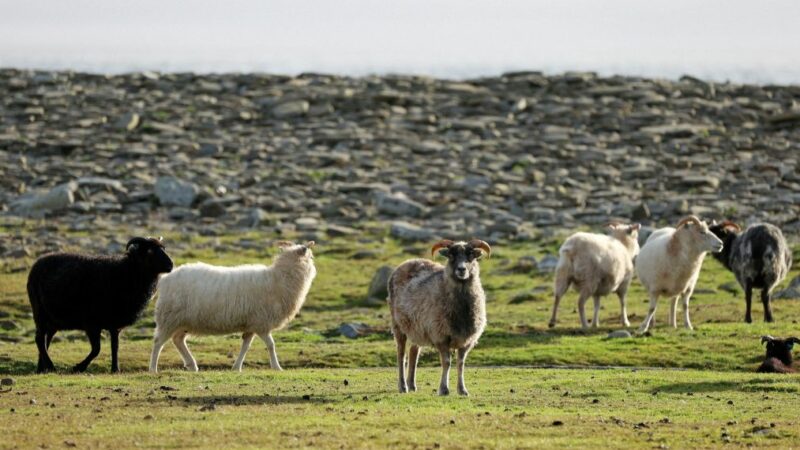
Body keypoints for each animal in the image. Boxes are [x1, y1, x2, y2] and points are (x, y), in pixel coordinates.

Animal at [27, 237, 173, 374]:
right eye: (149, 251)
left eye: (164, 248)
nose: (171, 265)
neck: (127, 273)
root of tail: (38, 263)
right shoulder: (91, 323)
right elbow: (97, 349)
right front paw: (78, 367)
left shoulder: (115, 325)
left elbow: (115, 346)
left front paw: (115, 369)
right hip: (39, 312)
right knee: (39, 339)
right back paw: (50, 366)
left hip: (53, 320)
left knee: (46, 339)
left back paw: (42, 369)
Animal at [149, 241, 316, 374]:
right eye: (311, 257)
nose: (314, 269)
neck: (280, 279)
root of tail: (165, 279)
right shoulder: (261, 323)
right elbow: (271, 345)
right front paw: (277, 367)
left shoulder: (252, 324)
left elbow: (246, 346)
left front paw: (237, 367)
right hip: (169, 317)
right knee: (158, 342)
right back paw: (153, 369)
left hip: (182, 321)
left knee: (178, 340)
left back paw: (192, 364)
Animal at [386, 237, 490, 396]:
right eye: (451, 256)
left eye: (471, 255)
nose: (461, 269)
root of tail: (409, 261)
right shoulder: (441, 336)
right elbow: (446, 362)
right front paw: (444, 389)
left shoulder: (467, 340)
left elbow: (461, 363)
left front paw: (462, 390)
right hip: (398, 326)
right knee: (401, 355)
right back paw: (403, 387)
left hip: (417, 328)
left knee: (413, 353)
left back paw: (412, 385)